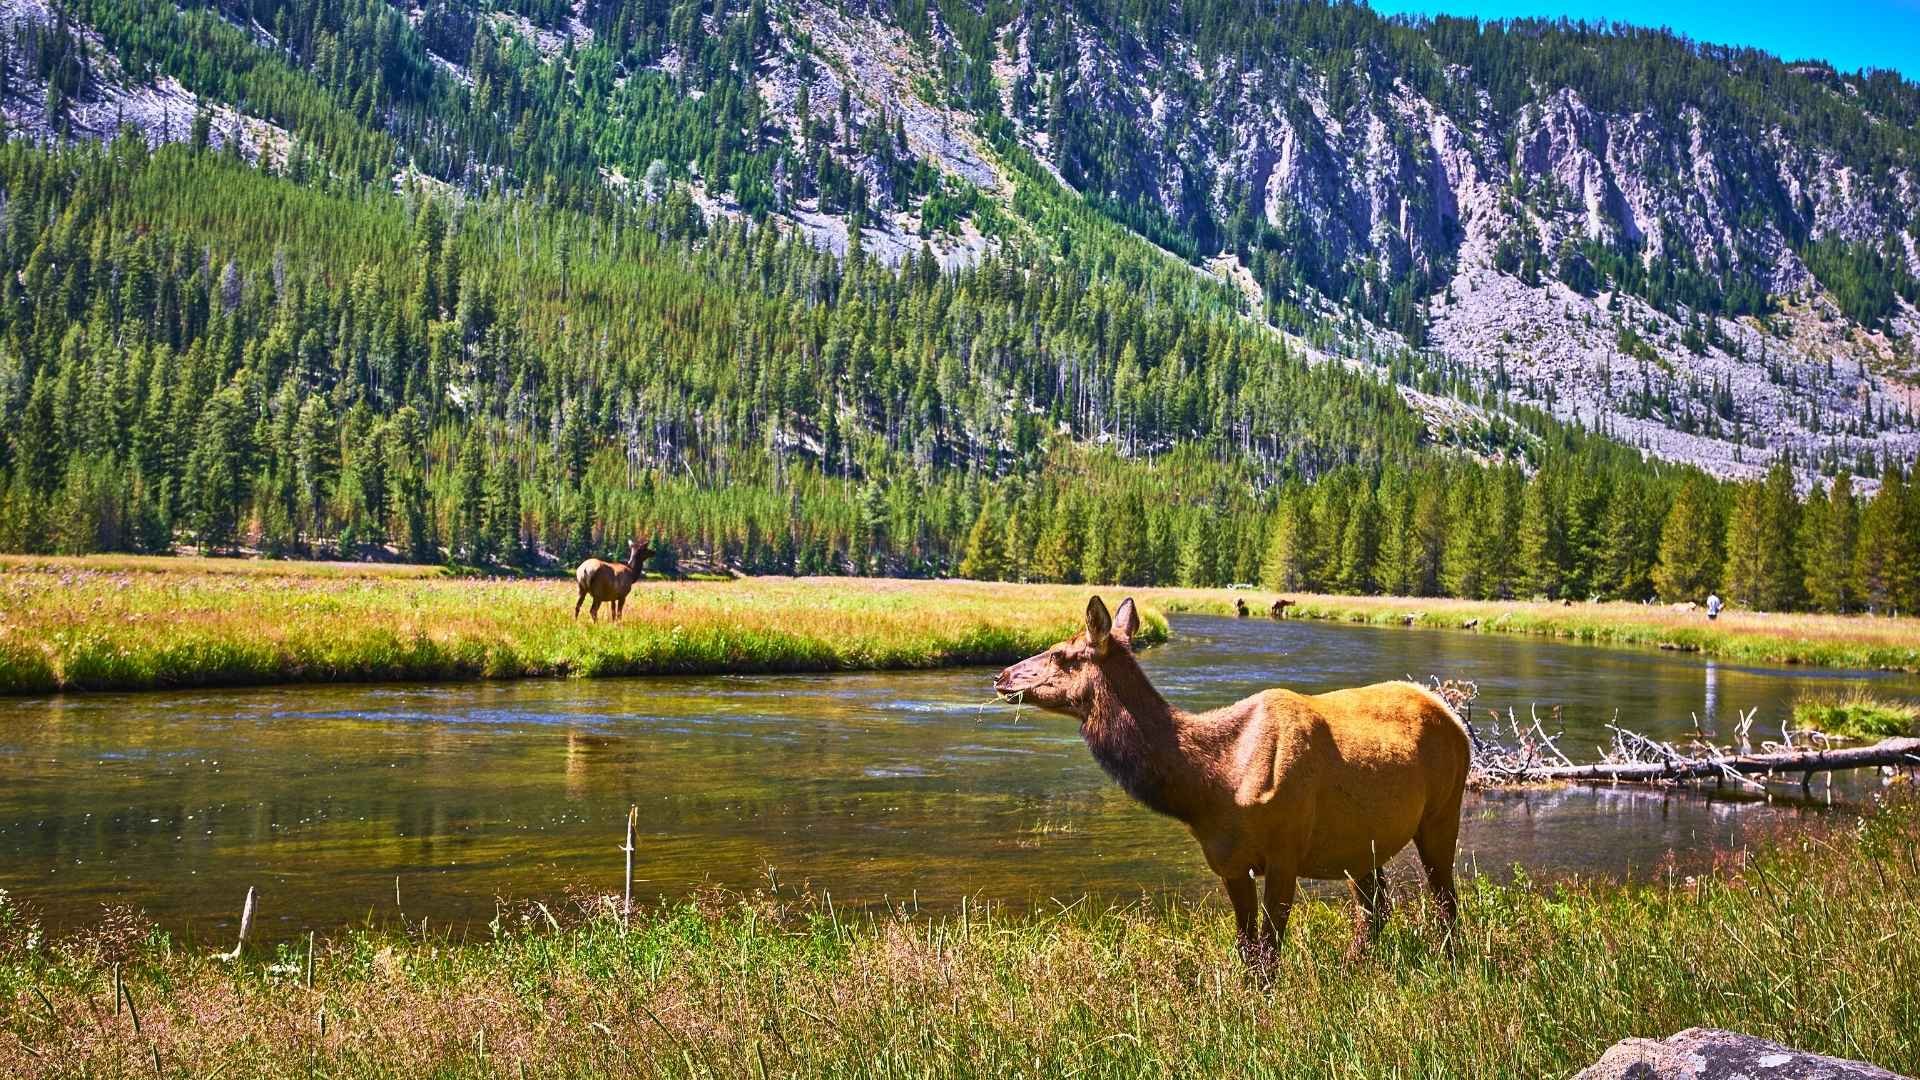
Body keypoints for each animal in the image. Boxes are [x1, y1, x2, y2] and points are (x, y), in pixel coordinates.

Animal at [993, 596, 1470, 970]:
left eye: (1060, 653)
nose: (1001, 676)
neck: (1208, 786)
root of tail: (1452, 714)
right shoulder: (1228, 862)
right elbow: (1247, 949)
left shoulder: (1285, 851)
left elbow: (1270, 950)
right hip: (1360, 843)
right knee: (1375, 908)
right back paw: (1353, 968)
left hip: (1442, 813)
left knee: (1444, 900)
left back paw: (1450, 964)